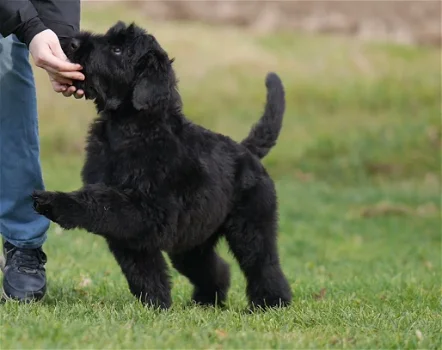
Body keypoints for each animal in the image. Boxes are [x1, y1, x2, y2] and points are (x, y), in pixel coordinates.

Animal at [32, 21, 292, 310]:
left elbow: (97, 202)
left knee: (263, 264)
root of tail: (248, 151)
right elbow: (142, 269)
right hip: (192, 242)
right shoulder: (134, 230)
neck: (133, 127)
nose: (72, 42)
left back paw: (271, 302)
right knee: (215, 268)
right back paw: (206, 301)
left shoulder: (147, 210)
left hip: (251, 228)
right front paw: (155, 303)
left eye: (118, 49)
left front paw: (54, 202)